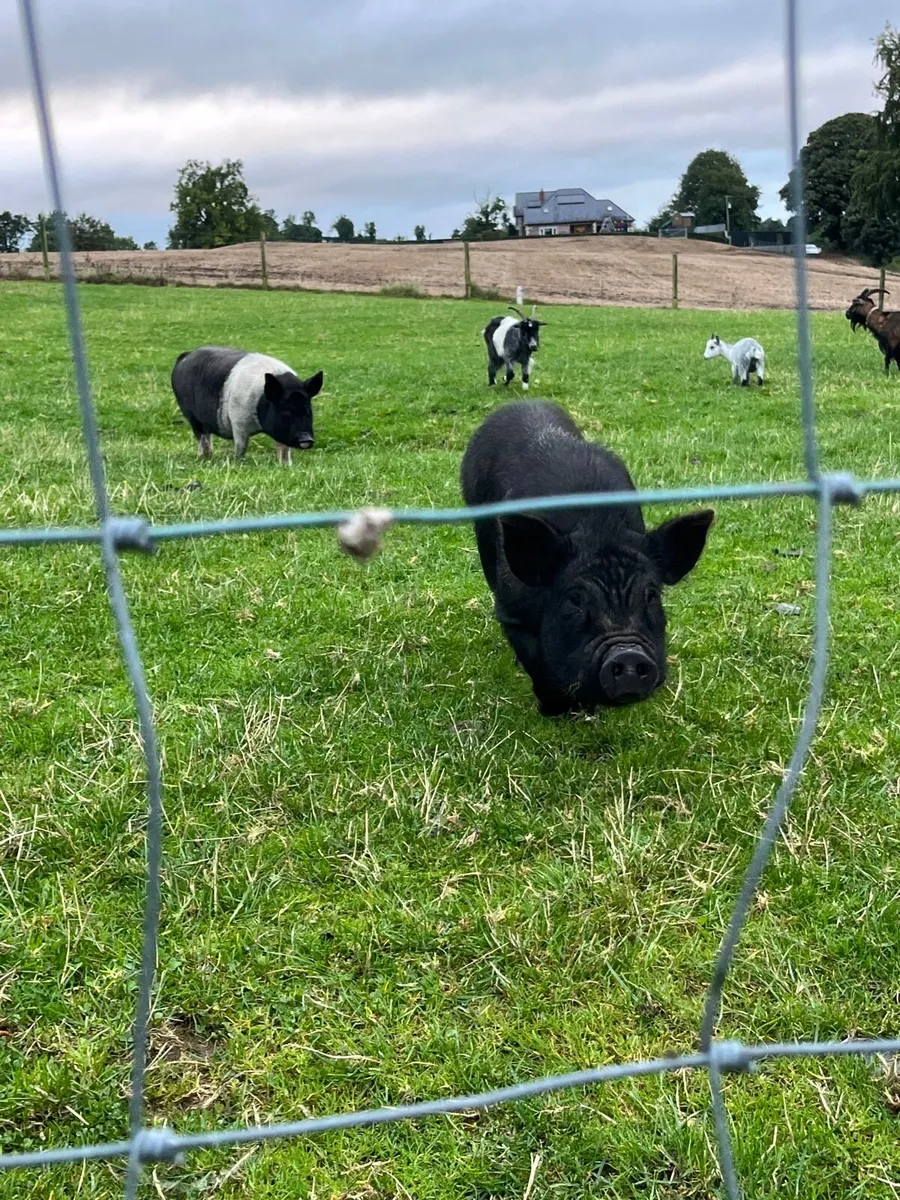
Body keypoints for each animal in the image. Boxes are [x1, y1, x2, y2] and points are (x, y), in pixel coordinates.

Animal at [171, 346, 324, 464]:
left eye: (308, 410)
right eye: (285, 411)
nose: (306, 439)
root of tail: (185, 356)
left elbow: (284, 449)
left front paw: (286, 465)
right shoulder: (238, 423)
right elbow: (241, 446)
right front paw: (239, 462)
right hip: (191, 415)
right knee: (202, 436)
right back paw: (205, 457)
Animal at [460, 400, 714, 715]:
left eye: (652, 594)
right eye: (575, 599)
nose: (628, 655)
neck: (599, 530)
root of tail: (519, 403)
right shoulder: (511, 612)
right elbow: (536, 662)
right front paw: (556, 711)